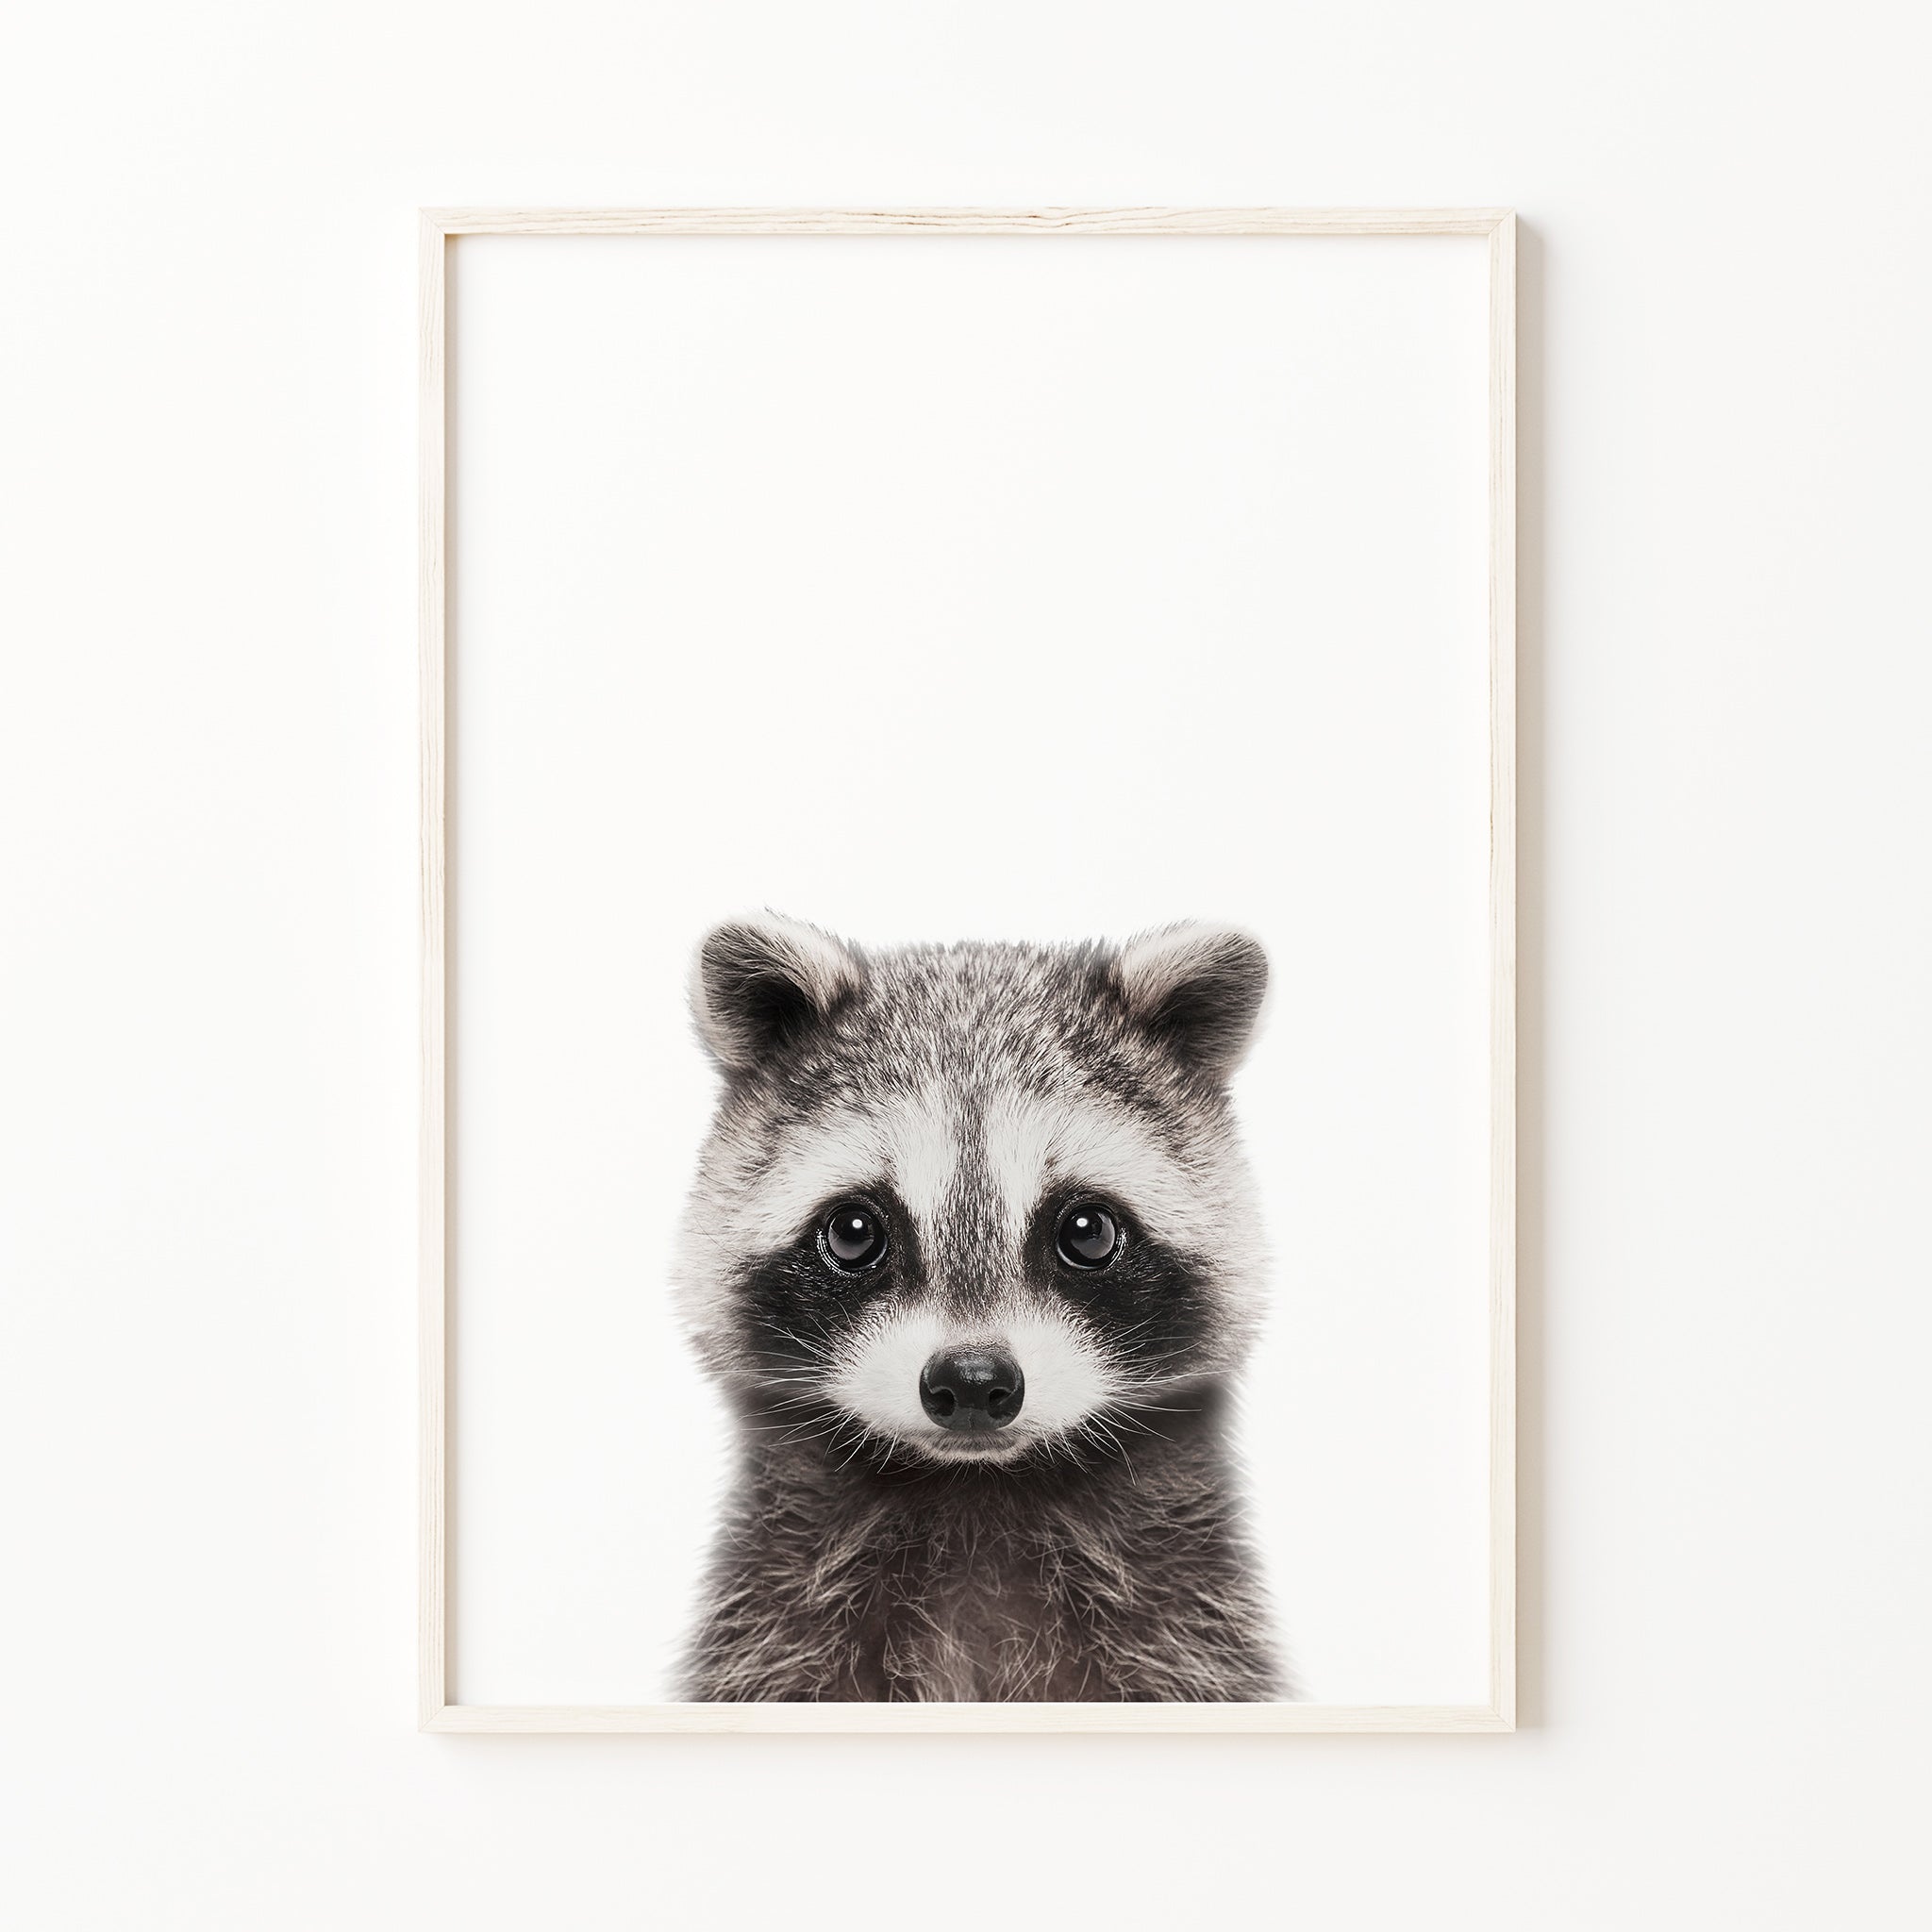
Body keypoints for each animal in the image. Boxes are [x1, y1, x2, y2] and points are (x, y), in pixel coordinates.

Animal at [674, 912, 1283, 1702]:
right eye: (853, 1231)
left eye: (1087, 1232)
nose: (970, 1383)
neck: (977, 1492)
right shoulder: (776, 1626)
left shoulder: (1188, 1631)